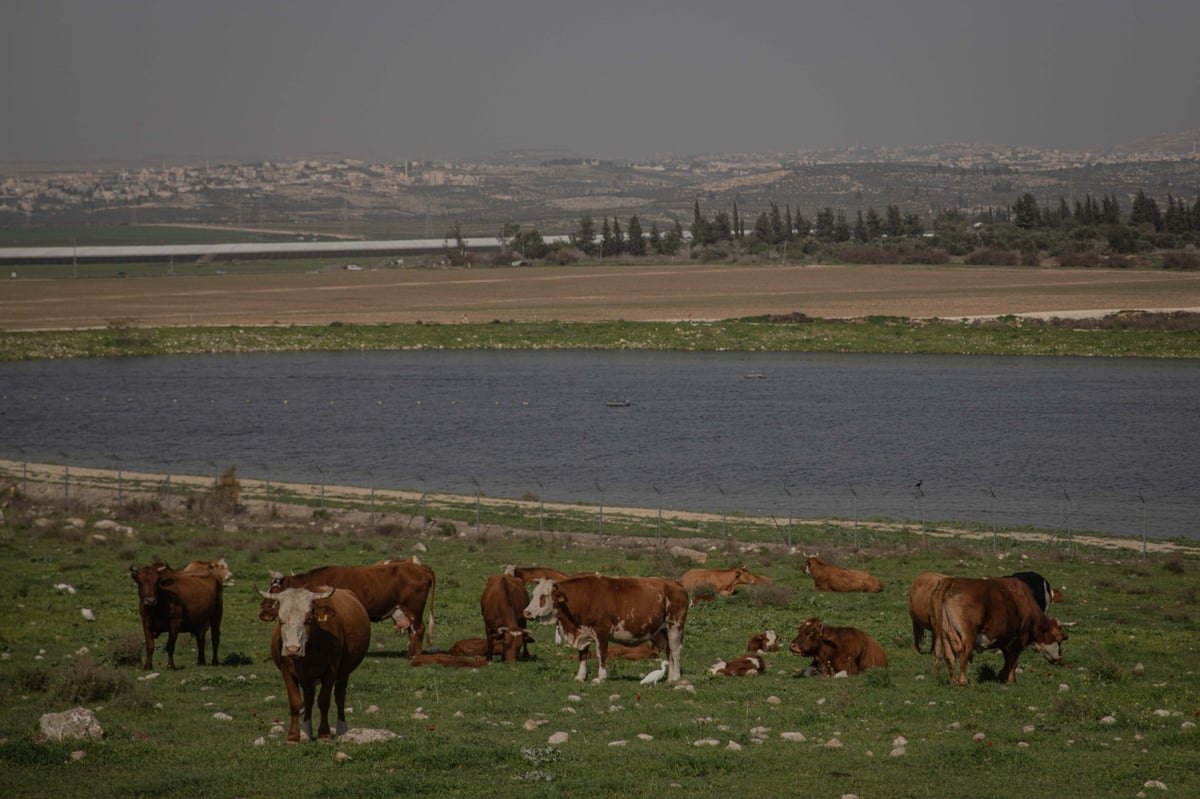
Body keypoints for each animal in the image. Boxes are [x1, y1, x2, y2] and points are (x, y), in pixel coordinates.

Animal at [260, 578, 372, 739]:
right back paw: (306, 731)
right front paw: (293, 736)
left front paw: (324, 734)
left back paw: (342, 728)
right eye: (281, 620)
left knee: (339, 696)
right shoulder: (286, 670)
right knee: (308, 697)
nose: (292, 649)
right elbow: (295, 702)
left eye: (308, 619)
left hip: (344, 672)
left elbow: (324, 701)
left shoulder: (332, 669)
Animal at [262, 554, 436, 652]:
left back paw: (415, 656)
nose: (262, 610)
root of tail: (419, 568)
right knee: (412, 631)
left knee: (419, 629)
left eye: (275, 588)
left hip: (414, 609)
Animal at [523, 573, 686, 676]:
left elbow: (601, 653)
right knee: (669, 652)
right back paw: (670, 677)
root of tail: (674, 583)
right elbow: (583, 654)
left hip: (675, 627)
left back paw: (675, 678)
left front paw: (600, 677)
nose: (527, 612)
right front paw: (580, 676)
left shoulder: (602, 631)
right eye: (534, 594)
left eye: (544, 596)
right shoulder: (583, 632)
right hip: (661, 632)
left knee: (676, 652)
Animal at [931, 573, 1065, 686]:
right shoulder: (1020, 637)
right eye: (1060, 640)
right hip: (968, 633)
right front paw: (1011, 681)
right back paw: (963, 681)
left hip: (945, 633)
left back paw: (953, 681)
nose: (1060, 659)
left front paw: (1002, 676)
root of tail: (953, 580)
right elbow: (1013, 661)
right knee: (964, 653)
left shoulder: (1006, 640)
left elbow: (1008, 660)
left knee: (949, 657)